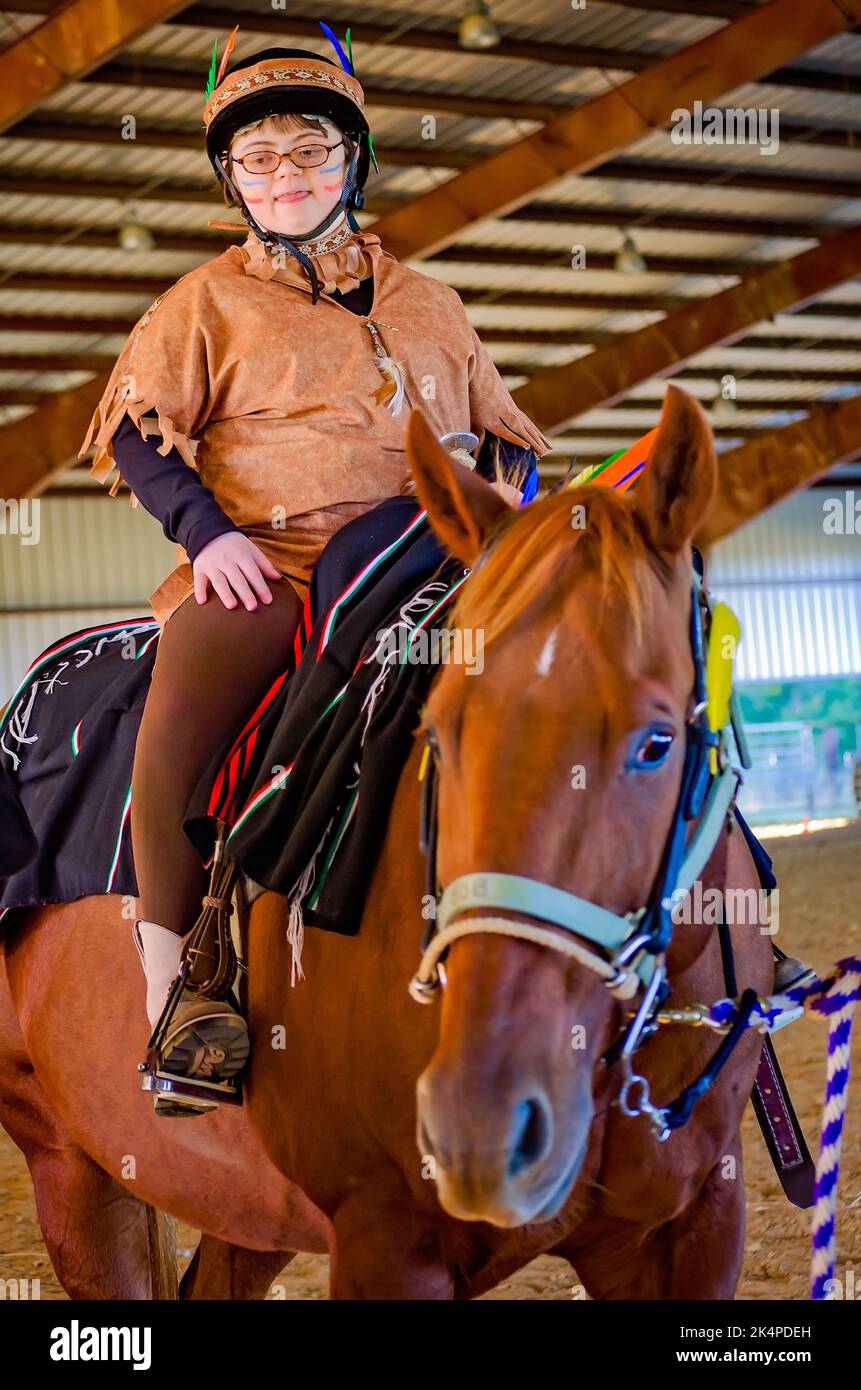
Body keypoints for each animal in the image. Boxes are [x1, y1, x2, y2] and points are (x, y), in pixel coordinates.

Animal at [0, 383, 772, 1299]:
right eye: (435, 732)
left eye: (656, 742)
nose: (479, 1119)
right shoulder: (383, 1239)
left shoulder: (690, 1226)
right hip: (68, 1164)